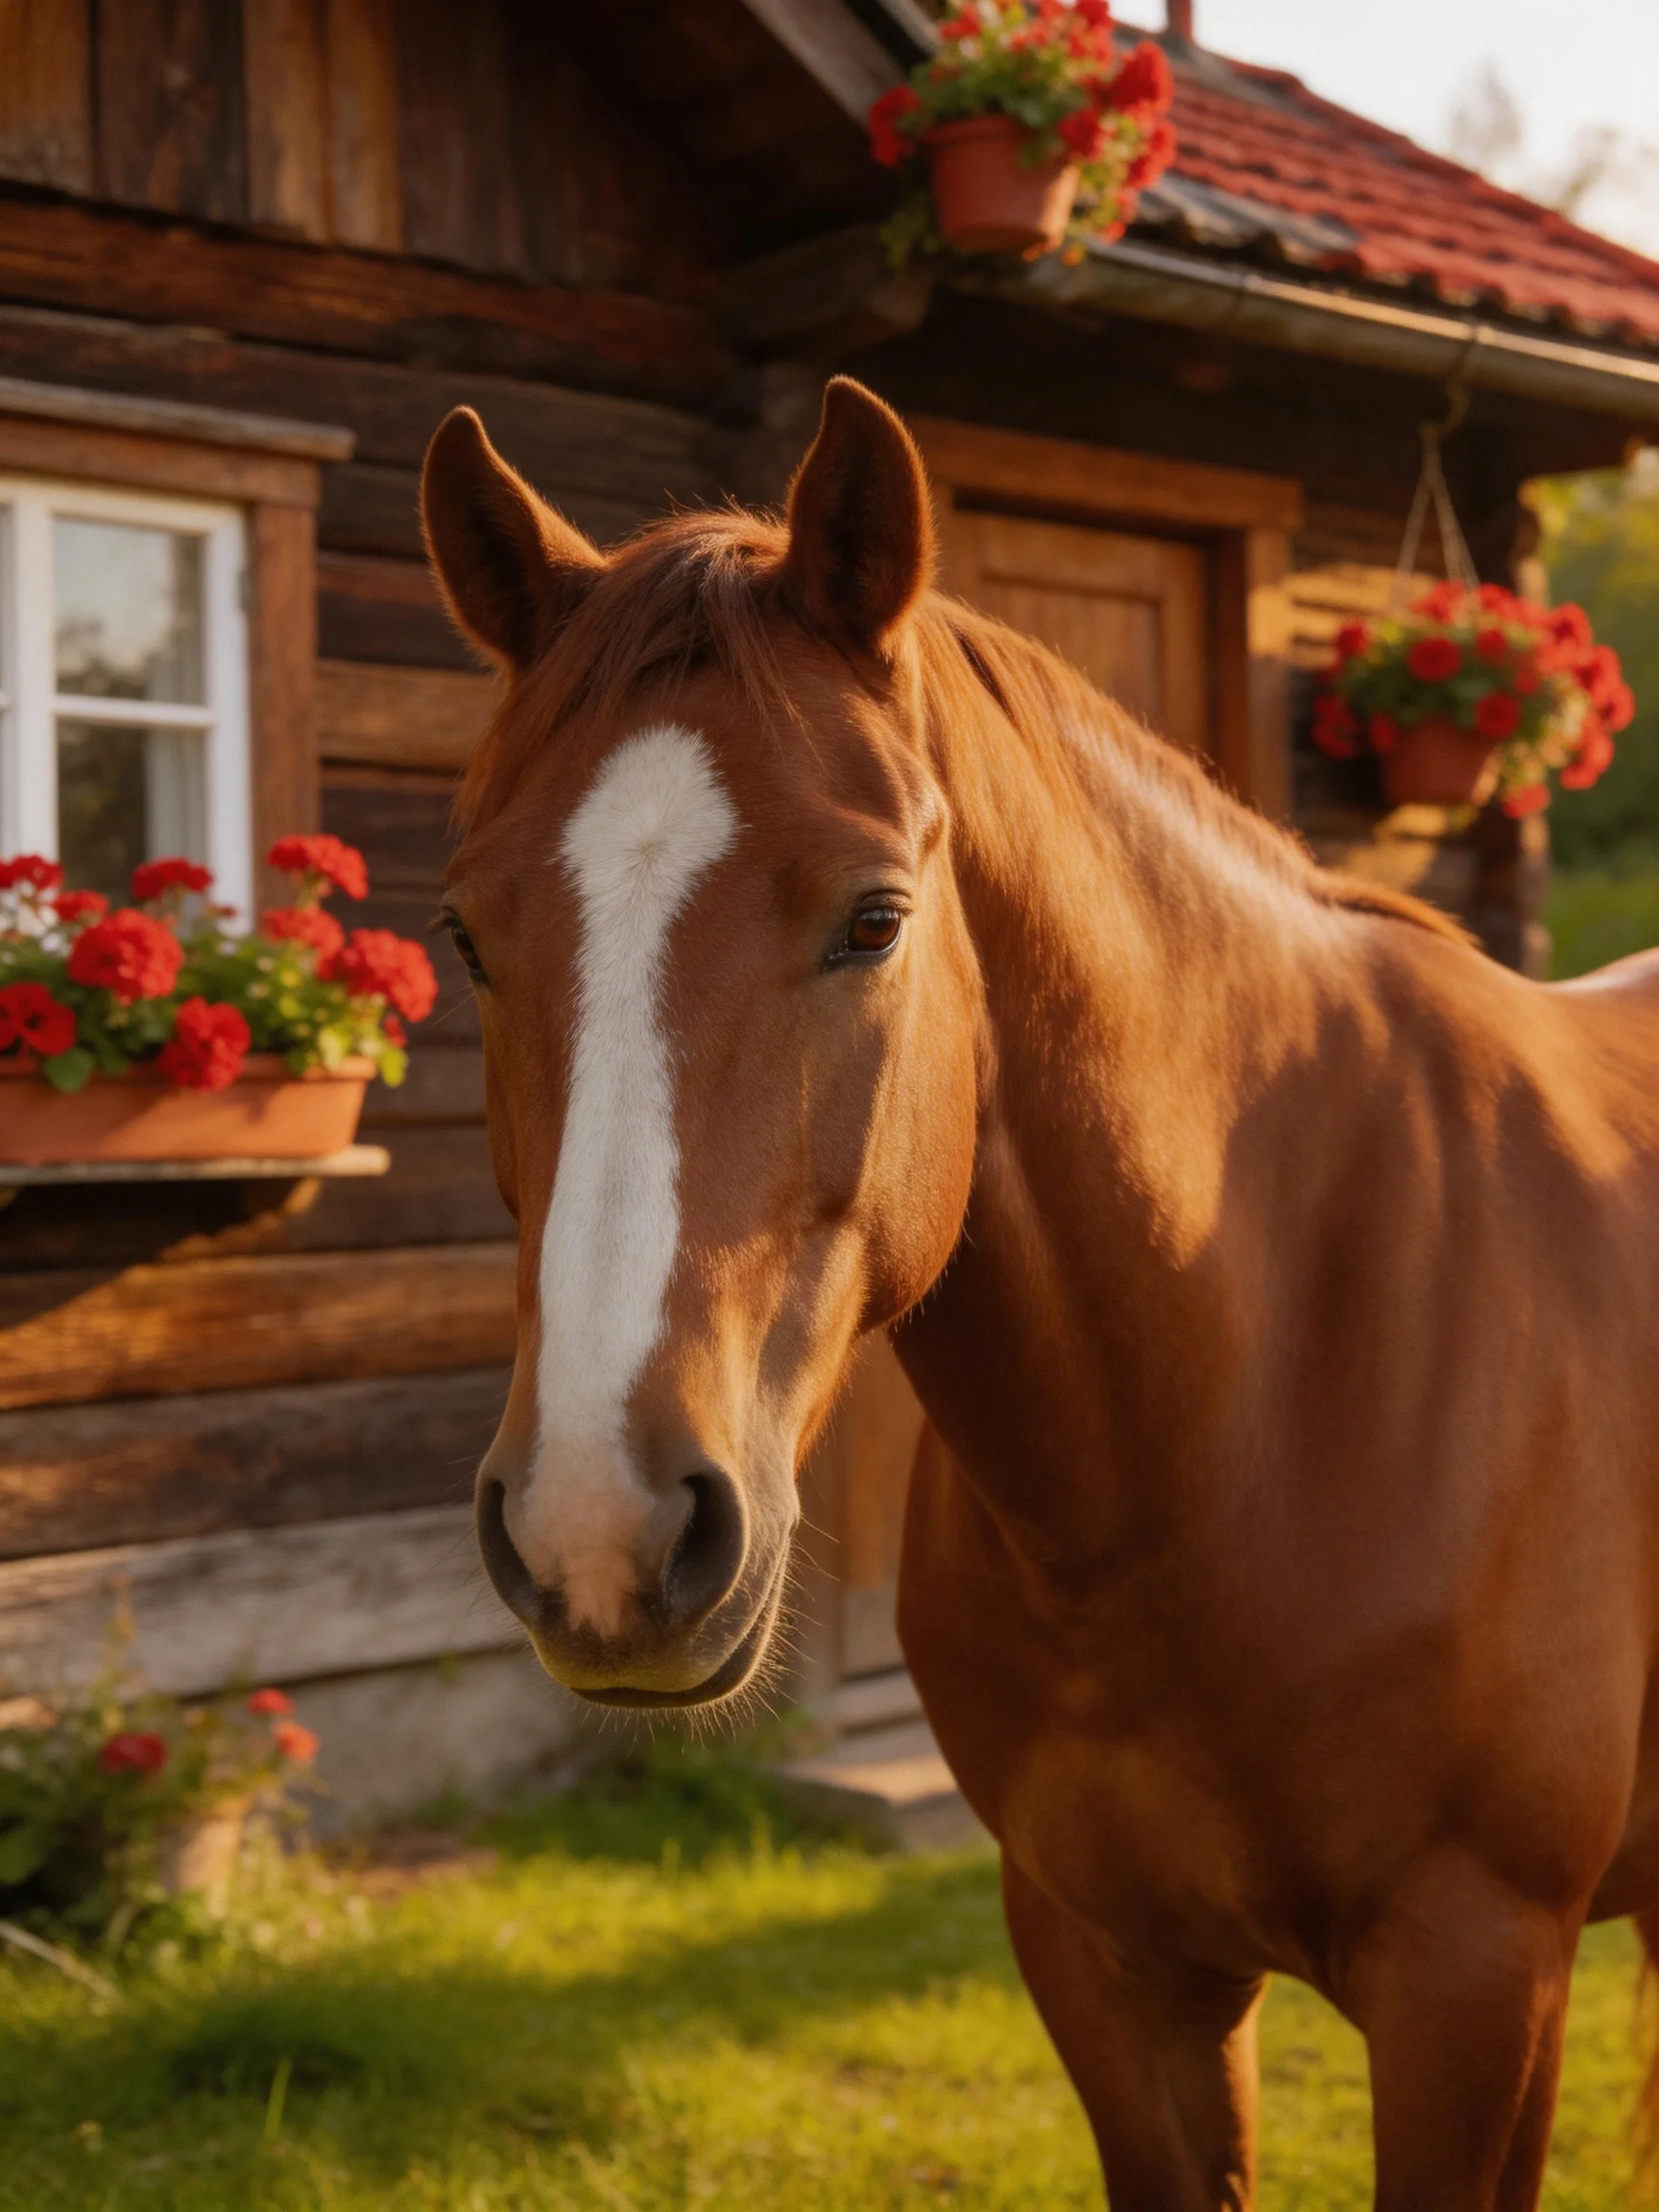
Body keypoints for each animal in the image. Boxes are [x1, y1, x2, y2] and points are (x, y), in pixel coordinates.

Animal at [420, 376, 1659, 2210]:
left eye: (874, 917)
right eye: (468, 936)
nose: (602, 1533)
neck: (1260, 1399)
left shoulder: (1478, 1986)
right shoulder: (1107, 1967)